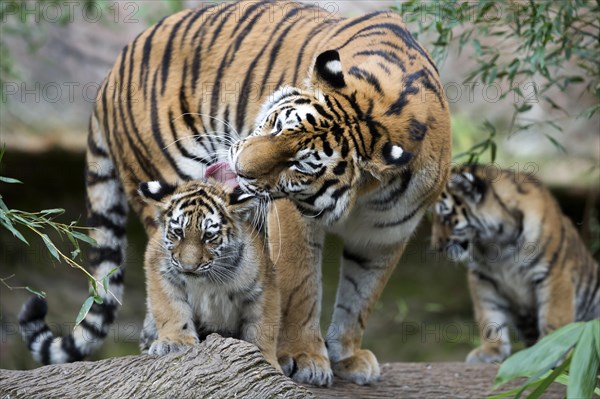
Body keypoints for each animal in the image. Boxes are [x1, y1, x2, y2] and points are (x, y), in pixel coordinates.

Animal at [18, 0, 450, 388]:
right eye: (276, 124)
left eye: (300, 164)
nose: (239, 165)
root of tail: (114, 67)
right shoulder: (291, 218)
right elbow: (300, 287)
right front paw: (304, 357)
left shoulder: (385, 236)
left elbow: (361, 298)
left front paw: (346, 357)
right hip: (169, 181)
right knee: (162, 258)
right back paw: (166, 338)